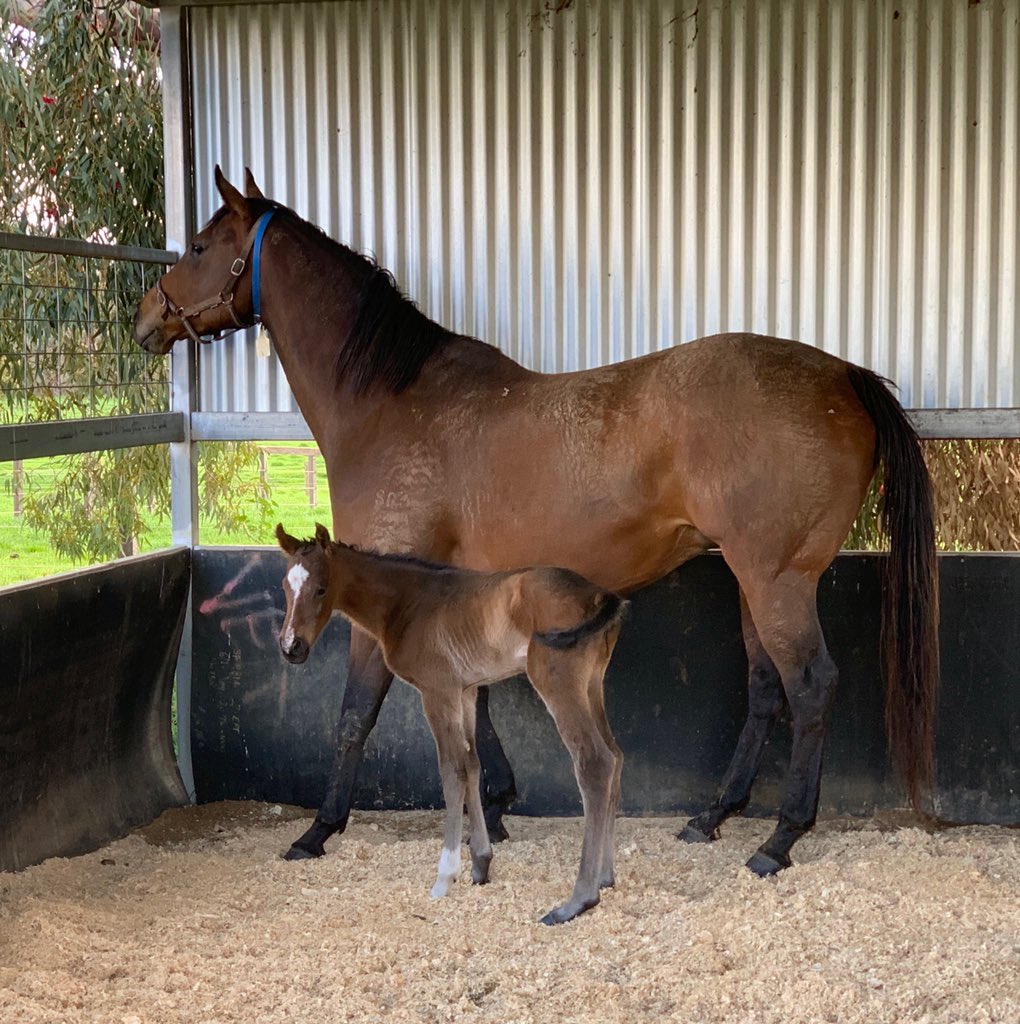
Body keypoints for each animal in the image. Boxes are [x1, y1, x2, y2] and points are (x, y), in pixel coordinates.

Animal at [134, 167, 939, 878]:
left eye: (200, 245)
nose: (146, 318)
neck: (391, 405)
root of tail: (845, 376)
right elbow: (475, 696)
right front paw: (494, 800)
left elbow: (357, 710)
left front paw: (319, 829)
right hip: (750, 578)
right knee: (768, 687)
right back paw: (713, 816)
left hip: (777, 579)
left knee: (810, 686)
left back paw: (779, 839)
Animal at [274, 522, 625, 924]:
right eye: (285, 587)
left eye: (321, 588)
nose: (291, 647)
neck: (408, 604)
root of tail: (598, 594)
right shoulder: (466, 691)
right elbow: (471, 765)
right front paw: (481, 865)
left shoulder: (437, 691)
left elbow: (451, 771)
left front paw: (445, 877)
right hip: (592, 684)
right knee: (615, 757)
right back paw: (605, 876)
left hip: (558, 682)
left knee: (594, 762)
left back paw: (577, 900)